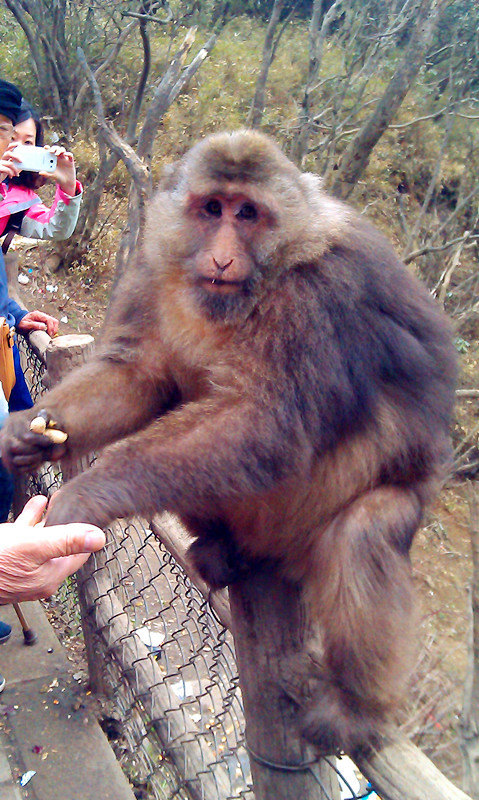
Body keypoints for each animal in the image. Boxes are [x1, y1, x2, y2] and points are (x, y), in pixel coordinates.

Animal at [0, 131, 458, 756]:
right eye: (212, 208)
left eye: (248, 214)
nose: (220, 257)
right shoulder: (155, 264)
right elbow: (139, 373)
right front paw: (30, 434)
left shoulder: (317, 296)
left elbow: (265, 423)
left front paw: (83, 496)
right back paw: (225, 550)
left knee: (366, 529)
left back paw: (357, 708)